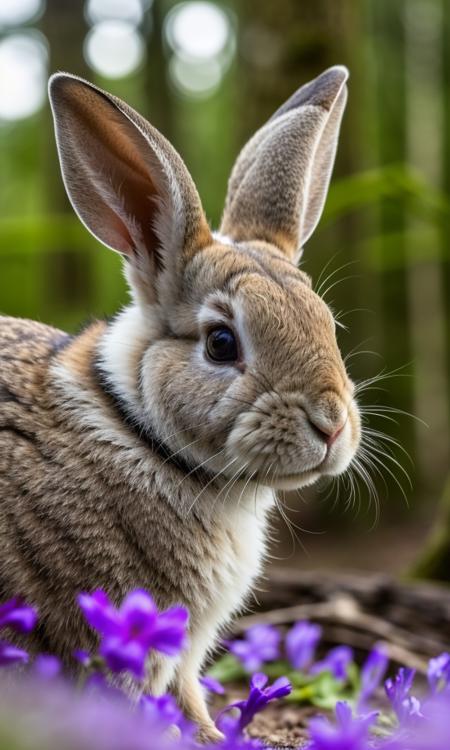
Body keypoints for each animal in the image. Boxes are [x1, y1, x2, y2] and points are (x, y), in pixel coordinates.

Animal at [0, 66, 358, 740]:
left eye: (330, 327)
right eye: (221, 343)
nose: (330, 427)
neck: (140, 431)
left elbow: (189, 695)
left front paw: (218, 735)